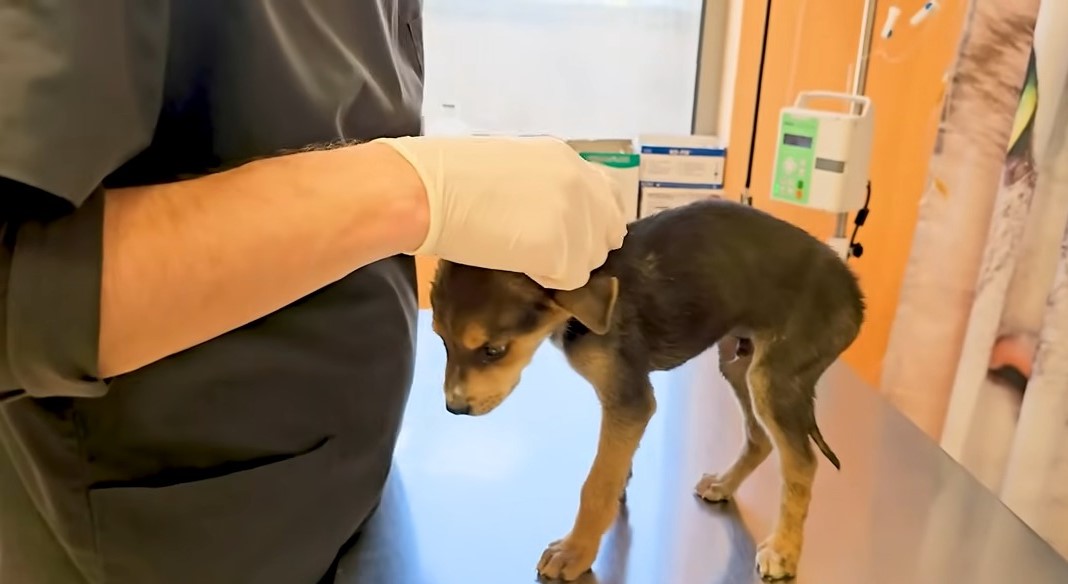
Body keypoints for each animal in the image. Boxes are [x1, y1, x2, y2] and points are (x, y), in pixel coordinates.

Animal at [429, 198, 862, 580]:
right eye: (442, 342)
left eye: (493, 350)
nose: (454, 407)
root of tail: (854, 293)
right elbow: (615, 468)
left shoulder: (630, 400)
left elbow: (597, 484)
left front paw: (576, 551)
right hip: (738, 363)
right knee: (760, 438)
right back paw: (724, 485)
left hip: (772, 377)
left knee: (801, 463)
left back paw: (784, 549)